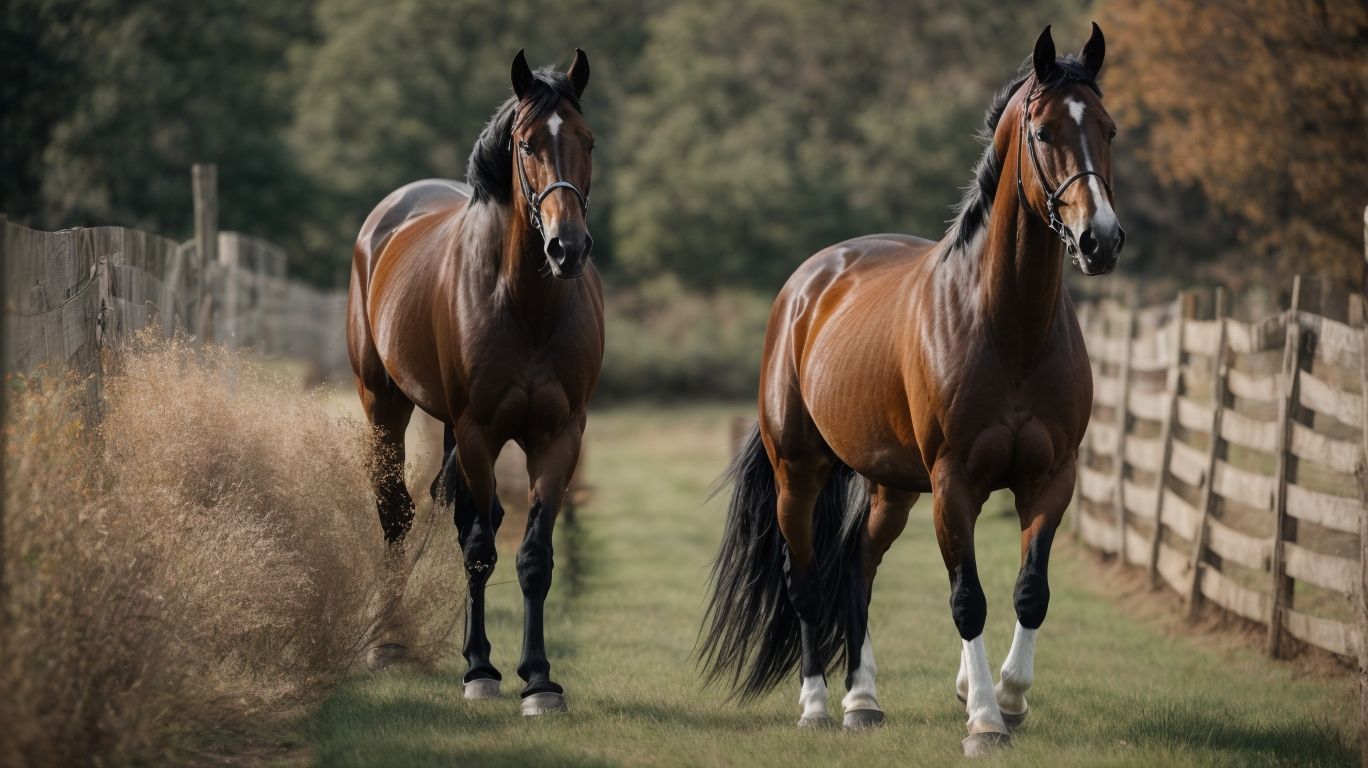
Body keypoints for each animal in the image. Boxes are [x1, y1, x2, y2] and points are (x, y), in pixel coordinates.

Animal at [347, 49, 602, 717]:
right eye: (527, 142)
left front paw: (538, 679)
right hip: (384, 404)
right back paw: (388, 642)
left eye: (588, 140)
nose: (567, 247)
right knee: (396, 512)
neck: (525, 306)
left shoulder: (558, 436)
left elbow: (531, 555)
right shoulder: (480, 431)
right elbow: (482, 550)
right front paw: (482, 671)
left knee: (463, 520)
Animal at [700, 24, 1123, 755]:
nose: (1100, 240)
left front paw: (1008, 699)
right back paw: (818, 705)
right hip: (798, 474)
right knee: (806, 581)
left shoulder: (1050, 479)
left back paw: (862, 701)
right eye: (1043, 131)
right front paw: (983, 719)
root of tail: (808, 284)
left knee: (857, 568)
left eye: (1109, 128)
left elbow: (1029, 592)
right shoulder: (953, 483)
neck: (1007, 326)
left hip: (890, 485)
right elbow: (967, 599)